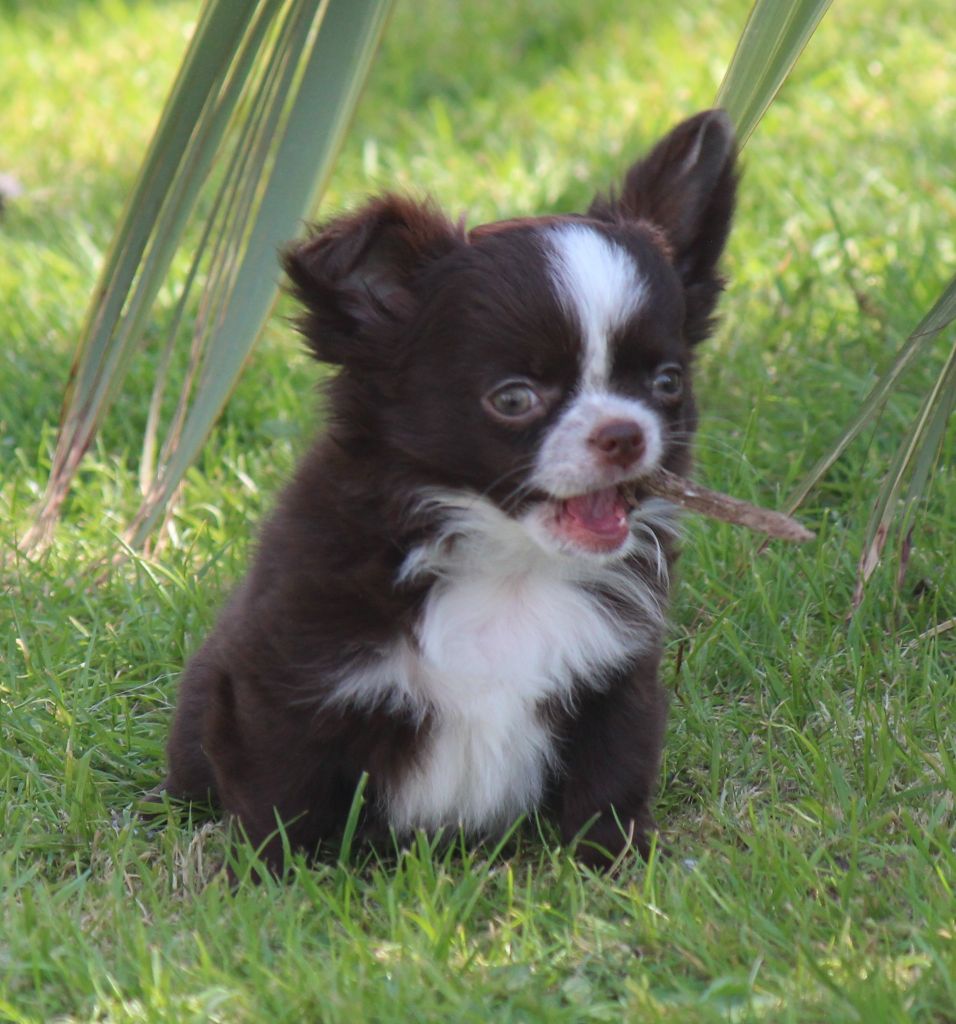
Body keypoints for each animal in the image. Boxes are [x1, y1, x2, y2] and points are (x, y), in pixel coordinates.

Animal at [160, 110, 736, 872]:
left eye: (667, 383)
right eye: (514, 398)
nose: (624, 433)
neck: (509, 564)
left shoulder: (616, 678)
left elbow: (612, 776)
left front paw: (614, 865)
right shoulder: (284, 677)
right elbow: (280, 794)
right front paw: (269, 882)